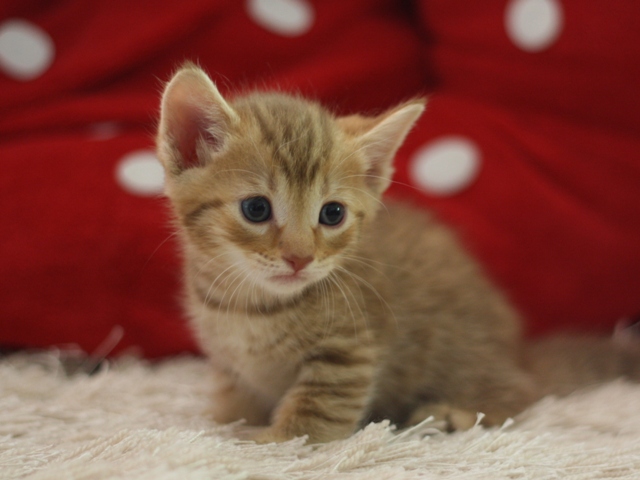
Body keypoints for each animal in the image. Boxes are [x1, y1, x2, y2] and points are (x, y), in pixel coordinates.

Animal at [156, 65, 640, 444]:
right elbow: (232, 403)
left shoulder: (349, 352)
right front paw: (226, 424)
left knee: (522, 392)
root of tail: (518, 351)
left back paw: (457, 412)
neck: (250, 308)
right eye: (256, 209)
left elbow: (315, 413)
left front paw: (269, 440)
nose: (299, 258)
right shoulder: (229, 364)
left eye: (332, 213)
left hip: (459, 351)